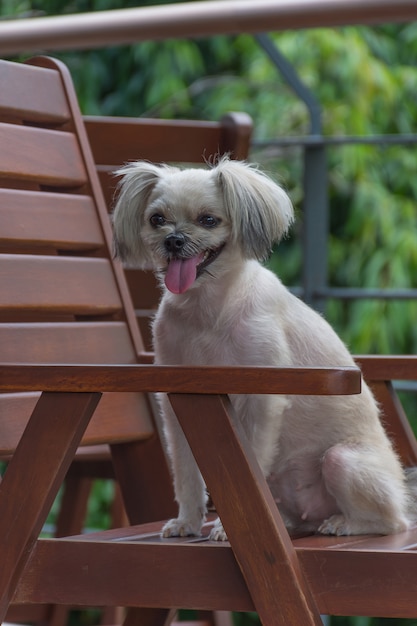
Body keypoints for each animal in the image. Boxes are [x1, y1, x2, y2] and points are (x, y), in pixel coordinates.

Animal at [112, 155, 416, 536]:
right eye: (157, 219)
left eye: (208, 220)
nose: (174, 240)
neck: (209, 311)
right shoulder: (178, 404)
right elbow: (186, 472)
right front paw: (187, 522)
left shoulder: (261, 401)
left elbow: (252, 462)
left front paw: (225, 528)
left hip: (343, 460)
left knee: (393, 522)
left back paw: (343, 523)